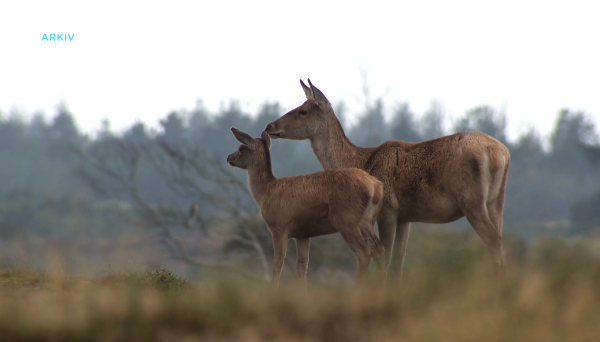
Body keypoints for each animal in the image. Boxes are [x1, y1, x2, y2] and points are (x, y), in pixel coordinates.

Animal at [225, 127, 384, 290]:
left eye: (241, 148)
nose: (229, 158)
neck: (265, 192)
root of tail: (376, 186)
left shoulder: (278, 226)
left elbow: (278, 262)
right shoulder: (302, 233)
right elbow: (302, 266)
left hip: (346, 219)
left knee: (364, 252)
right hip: (367, 220)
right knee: (379, 250)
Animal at [266, 80, 510, 284]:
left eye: (303, 111)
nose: (269, 126)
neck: (362, 160)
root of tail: (499, 154)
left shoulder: (388, 209)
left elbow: (385, 256)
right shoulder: (405, 217)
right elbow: (398, 262)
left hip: (471, 199)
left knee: (494, 241)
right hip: (496, 201)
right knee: (500, 239)